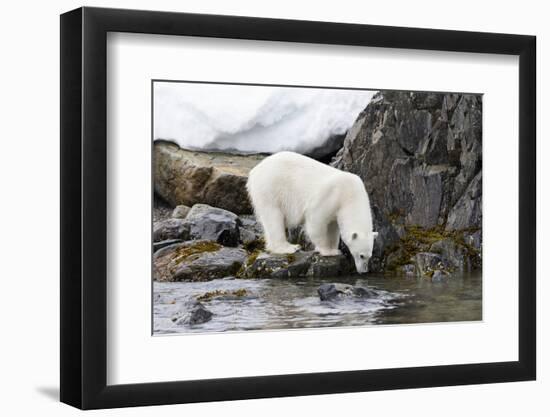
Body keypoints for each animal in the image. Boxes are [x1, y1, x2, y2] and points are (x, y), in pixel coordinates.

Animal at [247, 150, 380, 272]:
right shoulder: (330, 196)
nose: (363, 271)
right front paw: (326, 250)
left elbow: (333, 227)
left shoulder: (337, 209)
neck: (350, 195)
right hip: (271, 189)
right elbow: (316, 222)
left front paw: (334, 249)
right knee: (273, 218)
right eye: (361, 255)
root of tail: (255, 172)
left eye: (369, 256)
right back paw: (289, 247)